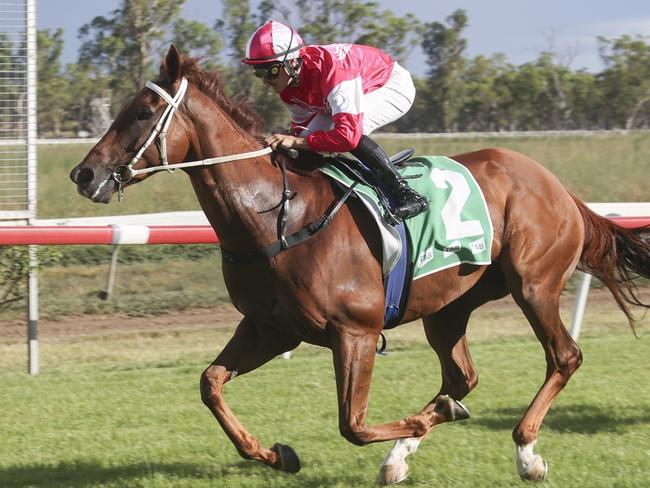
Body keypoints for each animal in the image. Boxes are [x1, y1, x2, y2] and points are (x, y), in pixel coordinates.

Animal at [68, 46, 644, 484]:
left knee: (564, 357)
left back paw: (525, 453)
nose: (83, 174)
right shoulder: (270, 328)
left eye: (143, 112)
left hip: (534, 284)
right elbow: (210, 384)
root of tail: (557, 186)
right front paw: (276, 454)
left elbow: (354, 423)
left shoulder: (356, 333)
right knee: (461, 377)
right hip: (449, 307)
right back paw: (413, 446)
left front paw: (415, 427)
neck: (276, 215)